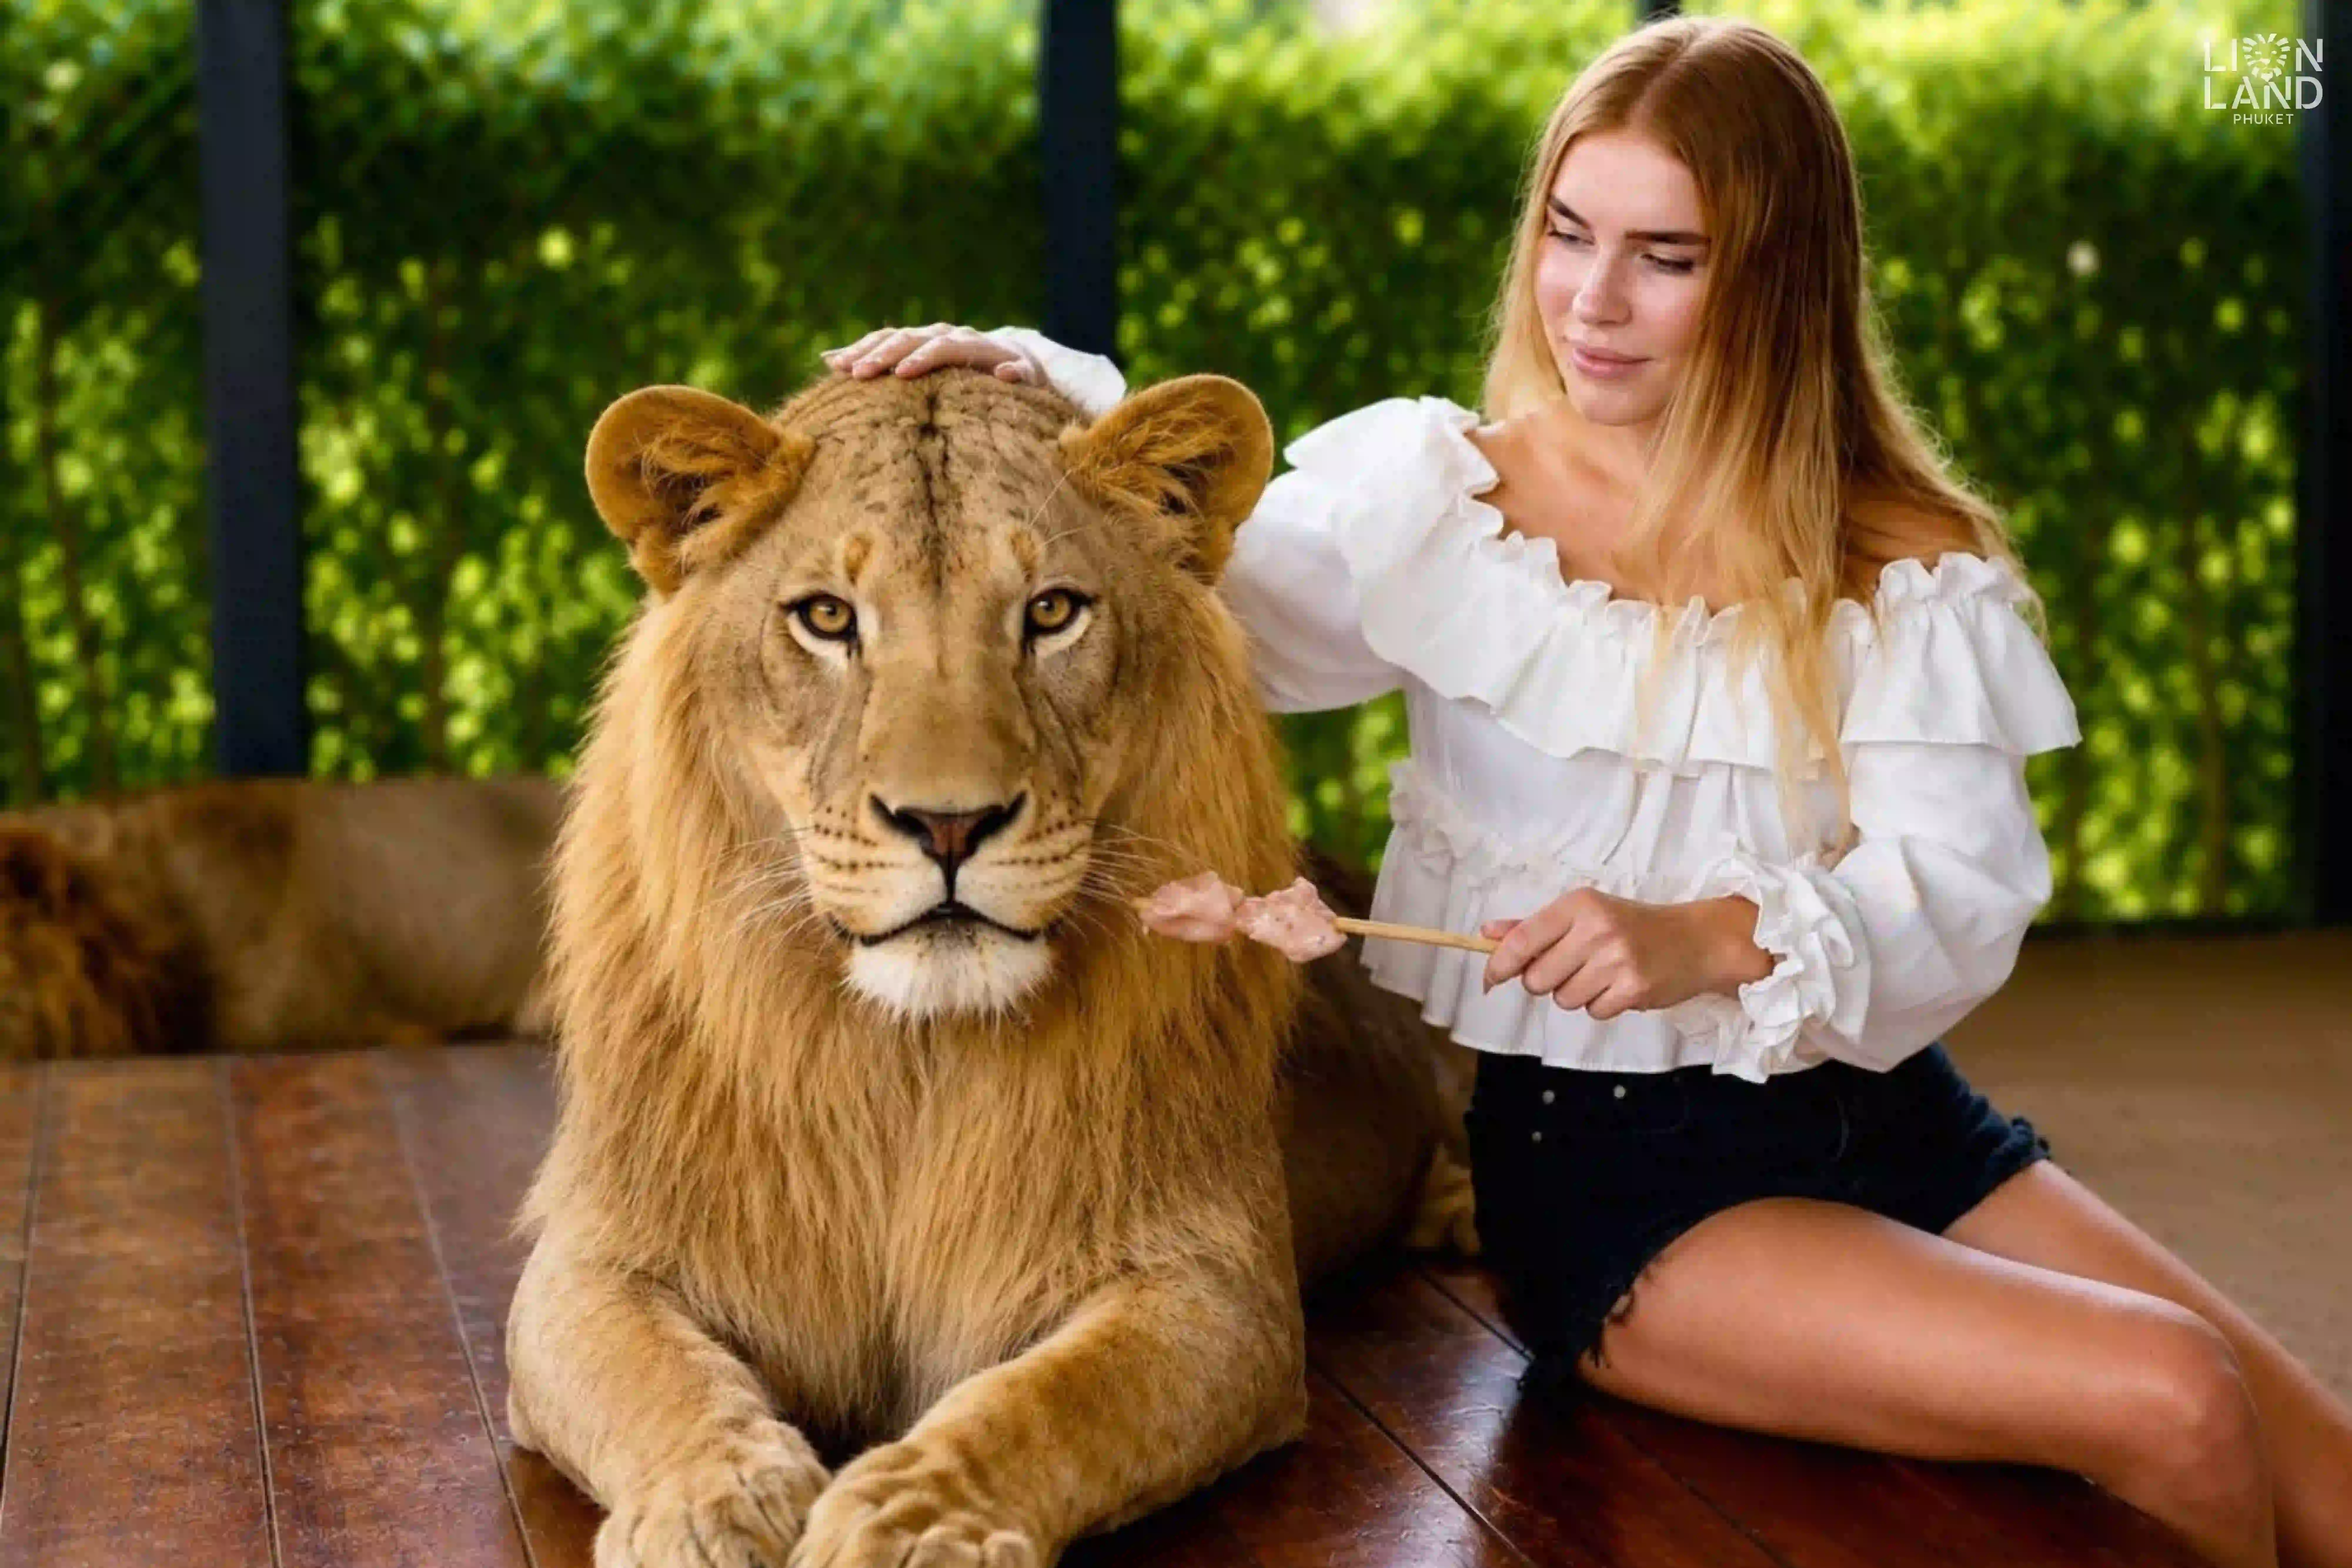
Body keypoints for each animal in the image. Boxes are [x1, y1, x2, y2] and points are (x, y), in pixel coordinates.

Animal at [505, 363, 1478, 1568]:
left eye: (1050, 611)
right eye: (827, 617)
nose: (949, 823)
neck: (911, 1058)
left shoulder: (1217, 1285)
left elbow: (1058, 1397)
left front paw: (915, 1515)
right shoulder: (589, 1258)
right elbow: (657, 1376)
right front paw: (713, 1499)